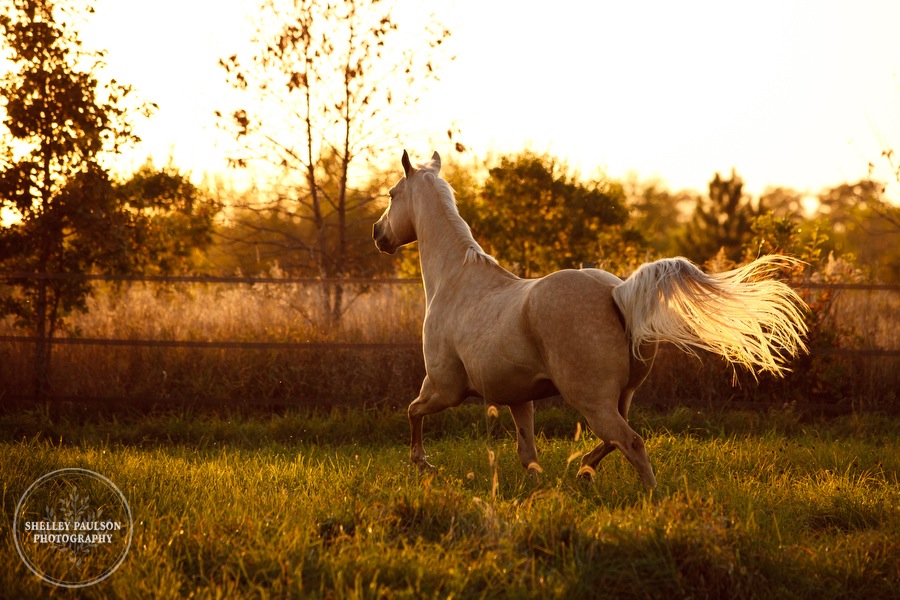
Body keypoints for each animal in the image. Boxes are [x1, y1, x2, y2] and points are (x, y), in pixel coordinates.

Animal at [372, 150, 808, 488]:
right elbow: (527, 452)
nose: (378, 234)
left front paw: (423, 464)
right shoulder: (518, 398)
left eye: (393, 194)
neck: (456, 280)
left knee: (631, 442)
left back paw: (651, 498)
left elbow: (412, 411)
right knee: (616, 440)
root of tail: (616, 294)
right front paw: (538, 487)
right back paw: (584, 469)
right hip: (619, 397)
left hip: (590, 400)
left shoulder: (444, 387)